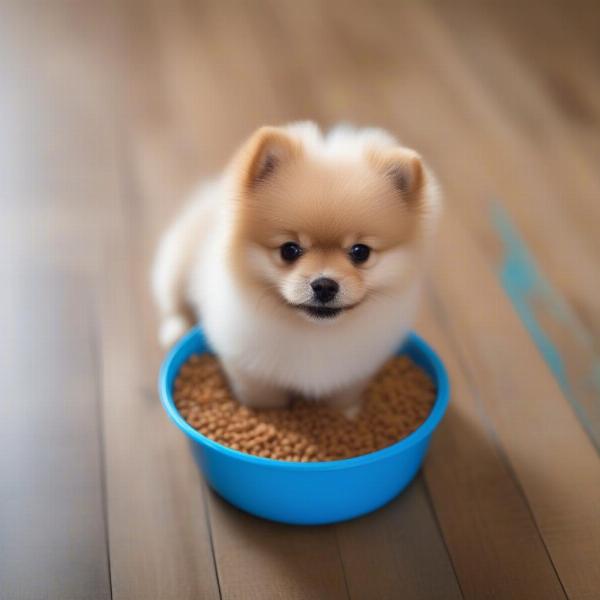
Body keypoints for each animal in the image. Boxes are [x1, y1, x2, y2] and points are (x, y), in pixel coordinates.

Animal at [151, 122, 440, 418]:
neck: (313, 332)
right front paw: (268, 416)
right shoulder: (249, 367)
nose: (324, 285)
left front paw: (347, 415)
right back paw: (175, 329)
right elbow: (262, 397)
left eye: (360, 252)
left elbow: (343, 396)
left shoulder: (354, 372)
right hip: (175, 263)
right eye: (289, 250)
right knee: (174, 300)